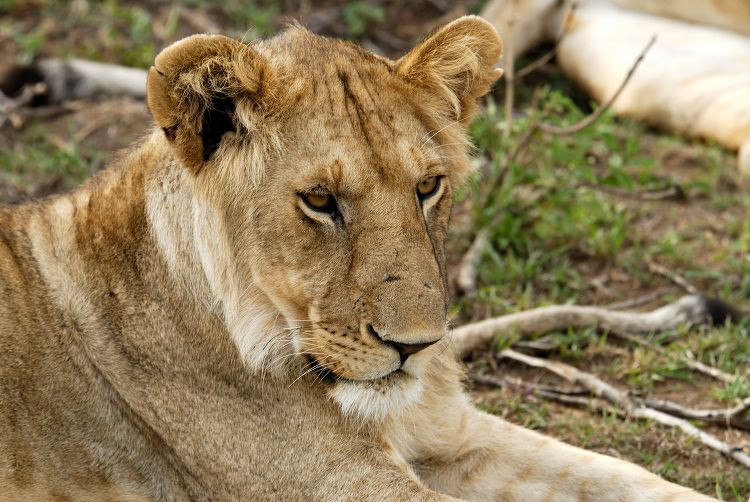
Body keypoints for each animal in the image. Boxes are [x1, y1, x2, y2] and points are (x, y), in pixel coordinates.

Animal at [0, 16, 716, 502]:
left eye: (427, 187)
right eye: (320, 201)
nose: (416, 346)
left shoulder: (455, 433)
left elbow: (629, 477)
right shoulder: (341, 484)